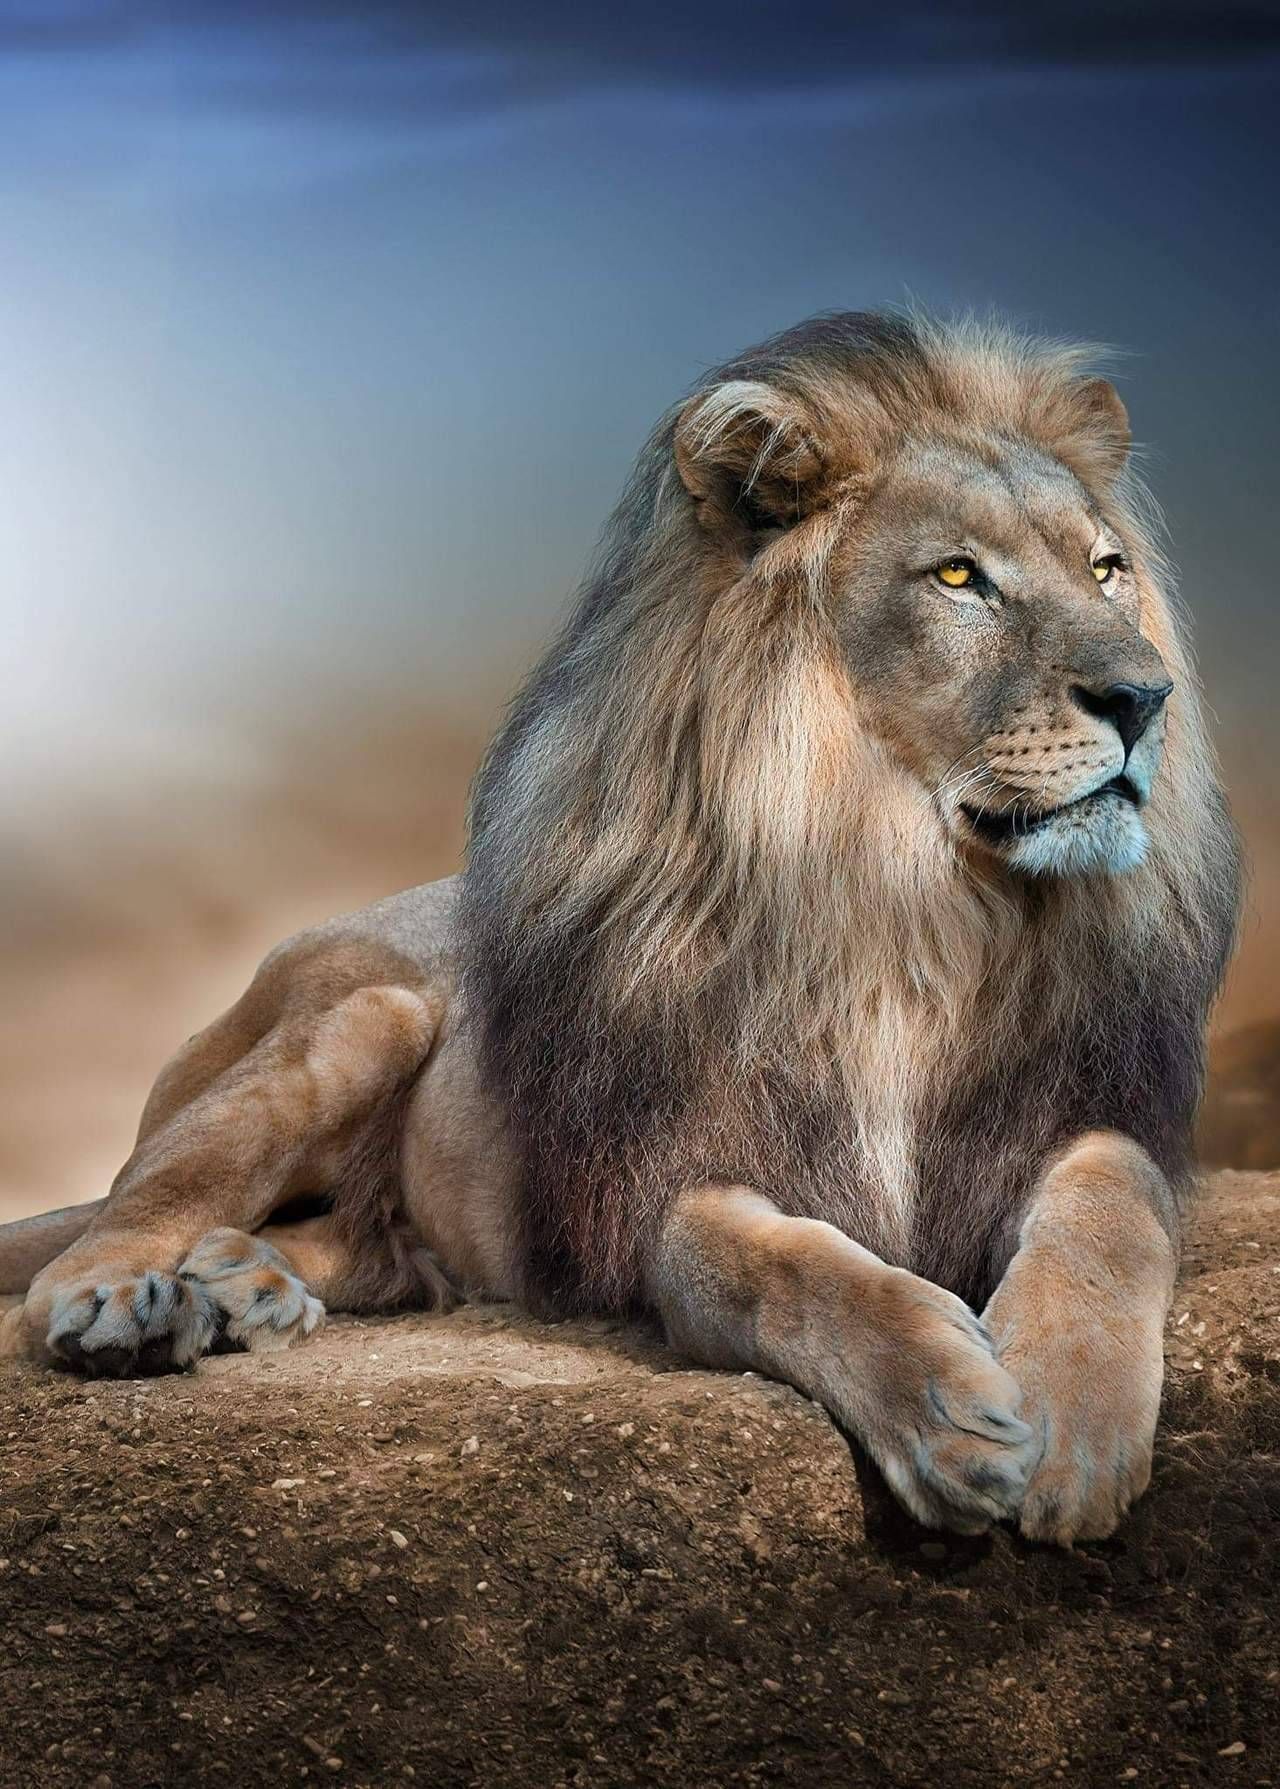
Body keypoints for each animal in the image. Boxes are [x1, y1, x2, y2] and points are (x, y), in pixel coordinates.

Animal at [0, 310, 1241, 1545]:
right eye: (955, 575)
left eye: (1105, 568)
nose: (1145, 699)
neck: (906, 907)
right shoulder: (665, 1177)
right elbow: (766, 1263)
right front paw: (945, 1410)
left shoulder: (1062, 1106)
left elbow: (1114, 1194)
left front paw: (1069, 1421)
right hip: (364, 1014)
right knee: (115, 1219)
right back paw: (132, 1303)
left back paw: (243, 1285)